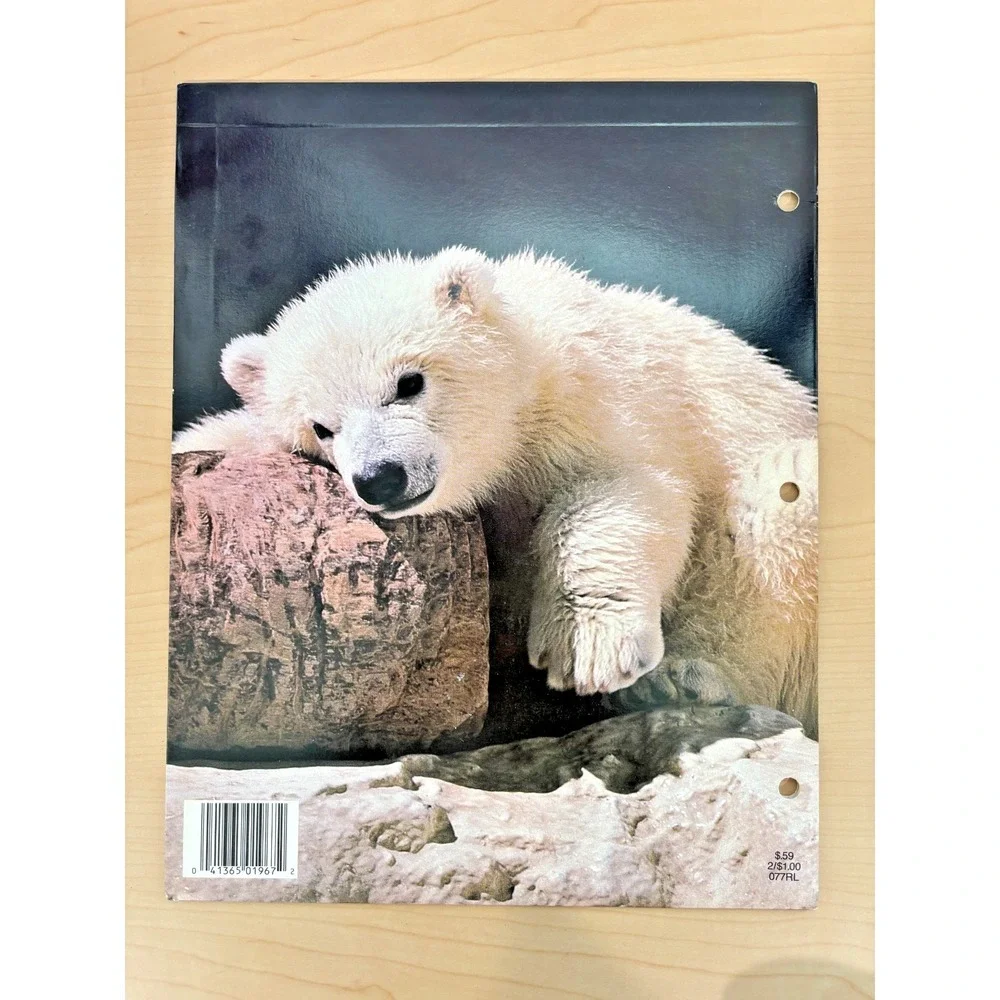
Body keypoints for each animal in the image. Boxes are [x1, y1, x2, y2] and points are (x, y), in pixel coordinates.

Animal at [173, 246, 818, 733]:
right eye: (320, 428)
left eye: (409, 382)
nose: (381, 477)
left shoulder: (600, 396)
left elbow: (619, 489)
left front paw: (585, 646)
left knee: (777, 502)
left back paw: (686, 679)